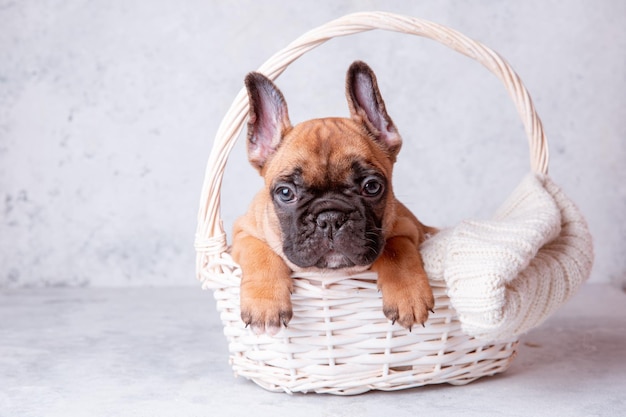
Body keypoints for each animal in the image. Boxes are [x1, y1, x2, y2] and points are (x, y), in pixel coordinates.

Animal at [230, 60, 434, 334]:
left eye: (372, 187)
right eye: (285, 193)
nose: (330, 218)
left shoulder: (409, 228)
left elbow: (396, 249)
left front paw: (409, 296)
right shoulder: (243, 231)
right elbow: (260, 253)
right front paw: (265, 303)